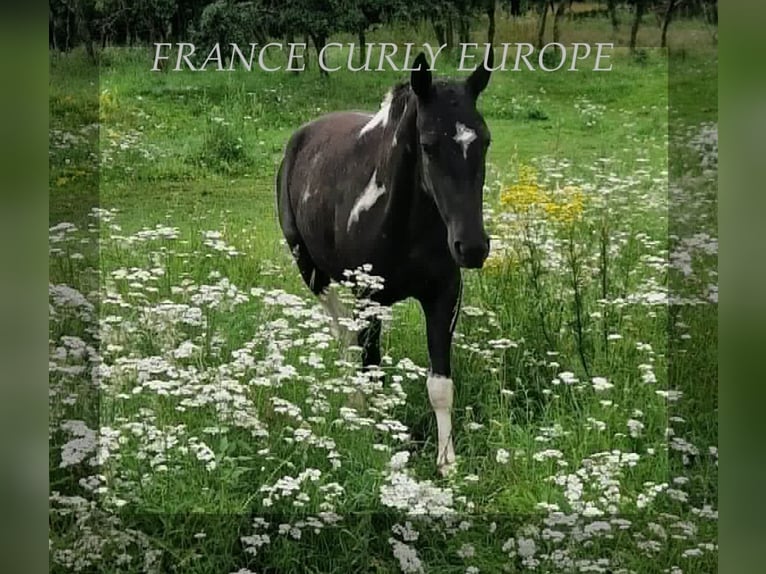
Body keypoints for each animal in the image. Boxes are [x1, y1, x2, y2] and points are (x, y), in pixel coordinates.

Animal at [280, 50, 496, 476]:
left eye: (484, 141)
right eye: (428, 145)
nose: (472, 247)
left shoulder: (444, 295)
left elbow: (440, 385)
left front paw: (447, 462)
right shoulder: (367, 298)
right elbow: (370, 369)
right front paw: (377, 440)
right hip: (314, 274)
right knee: (343, 336)